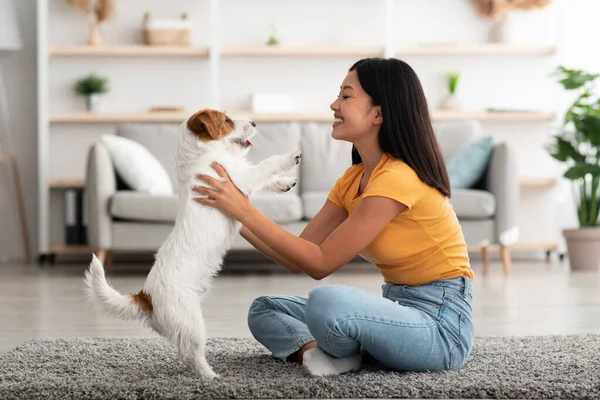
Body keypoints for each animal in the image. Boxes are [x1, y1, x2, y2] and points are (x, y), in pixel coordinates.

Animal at [84, 108, 300, 378]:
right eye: (227, 120)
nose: (254, 122)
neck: (201, 156)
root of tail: (146, 297)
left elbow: (264, 177)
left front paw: (284, 183)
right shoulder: (240, 178)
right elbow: (265, 165)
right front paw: (290, 156)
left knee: (183, 353)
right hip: (192, 323)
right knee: (192, 354)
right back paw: (211, 376)